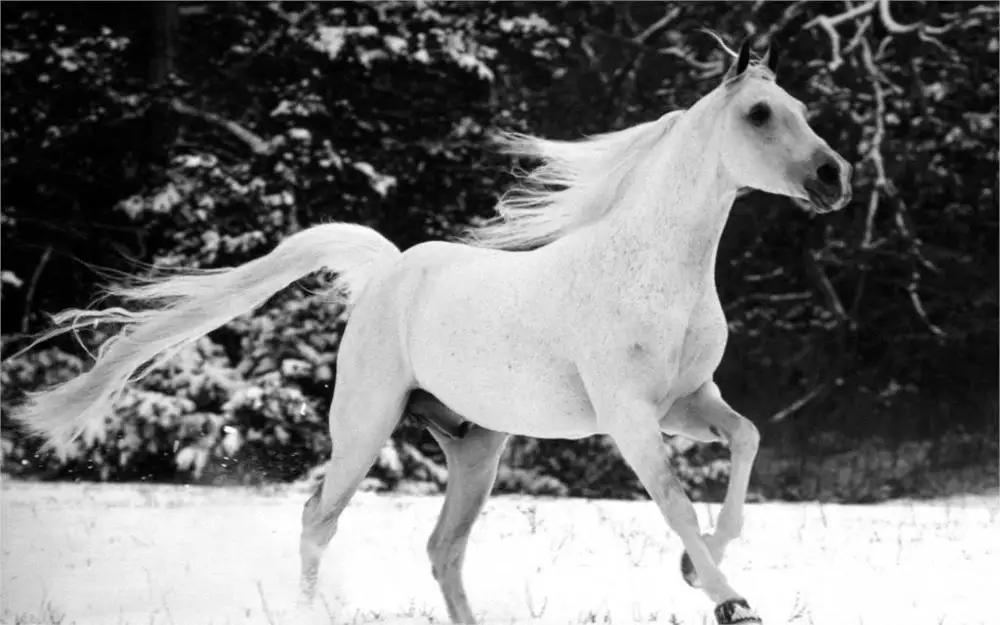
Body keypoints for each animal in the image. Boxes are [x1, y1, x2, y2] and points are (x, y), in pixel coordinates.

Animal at [12, 36, 852, 625]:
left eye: (804, 110)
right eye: (759, 114)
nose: (833, 177)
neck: (653, 269)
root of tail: (388, 270)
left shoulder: (688, 401)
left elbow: (746, 440)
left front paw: (693, 568)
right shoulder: (630, 416)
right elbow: (674, 500)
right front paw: (729, 599)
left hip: (476, 447)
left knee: (442, 549)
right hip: (363, 425)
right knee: (319, 519)